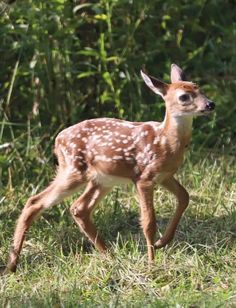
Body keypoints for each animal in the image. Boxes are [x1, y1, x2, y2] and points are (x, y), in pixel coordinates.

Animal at [6, 63, 216, 270]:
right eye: (184, 96)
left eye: (200, 89)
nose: (210, 104)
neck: (166, 142)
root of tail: (57, 141)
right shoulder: (144, 177)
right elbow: (149, 222)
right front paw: (151, 262)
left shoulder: (165, 175)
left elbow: (184, 197)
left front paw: (161, 242)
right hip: (74, 171)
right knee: (35, 202)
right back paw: (12, 263)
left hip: (102, 179)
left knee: (79, 208)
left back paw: (109, 256)